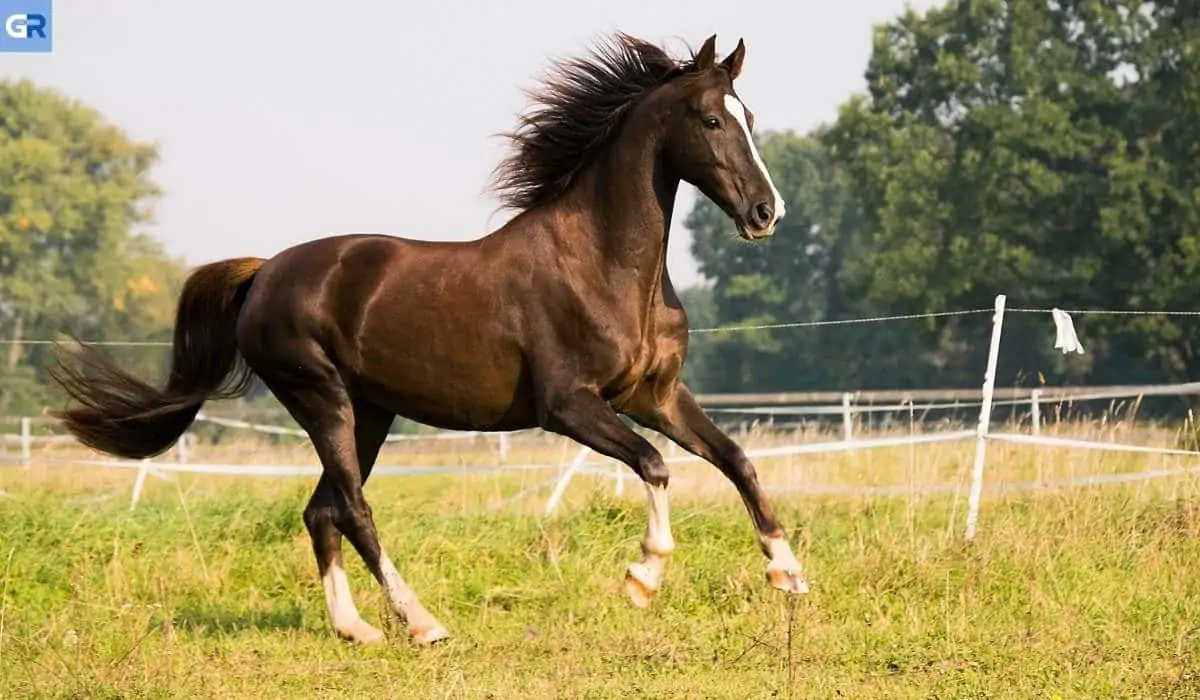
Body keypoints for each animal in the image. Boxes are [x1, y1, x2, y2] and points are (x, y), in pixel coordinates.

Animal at [51, 32, 811, 648]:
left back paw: (356, 629)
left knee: (321, 510)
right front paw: (643, 577)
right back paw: (422, 623)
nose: (766, 213)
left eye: (749, 118)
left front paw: (788, 572)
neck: (604, 265)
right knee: (353, 509)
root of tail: (264, 272)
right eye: (711, 119)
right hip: (321, 399)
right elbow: (655, 466)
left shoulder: (655, 396)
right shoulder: (569, 407)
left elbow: (736, 459)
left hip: (370, 412)